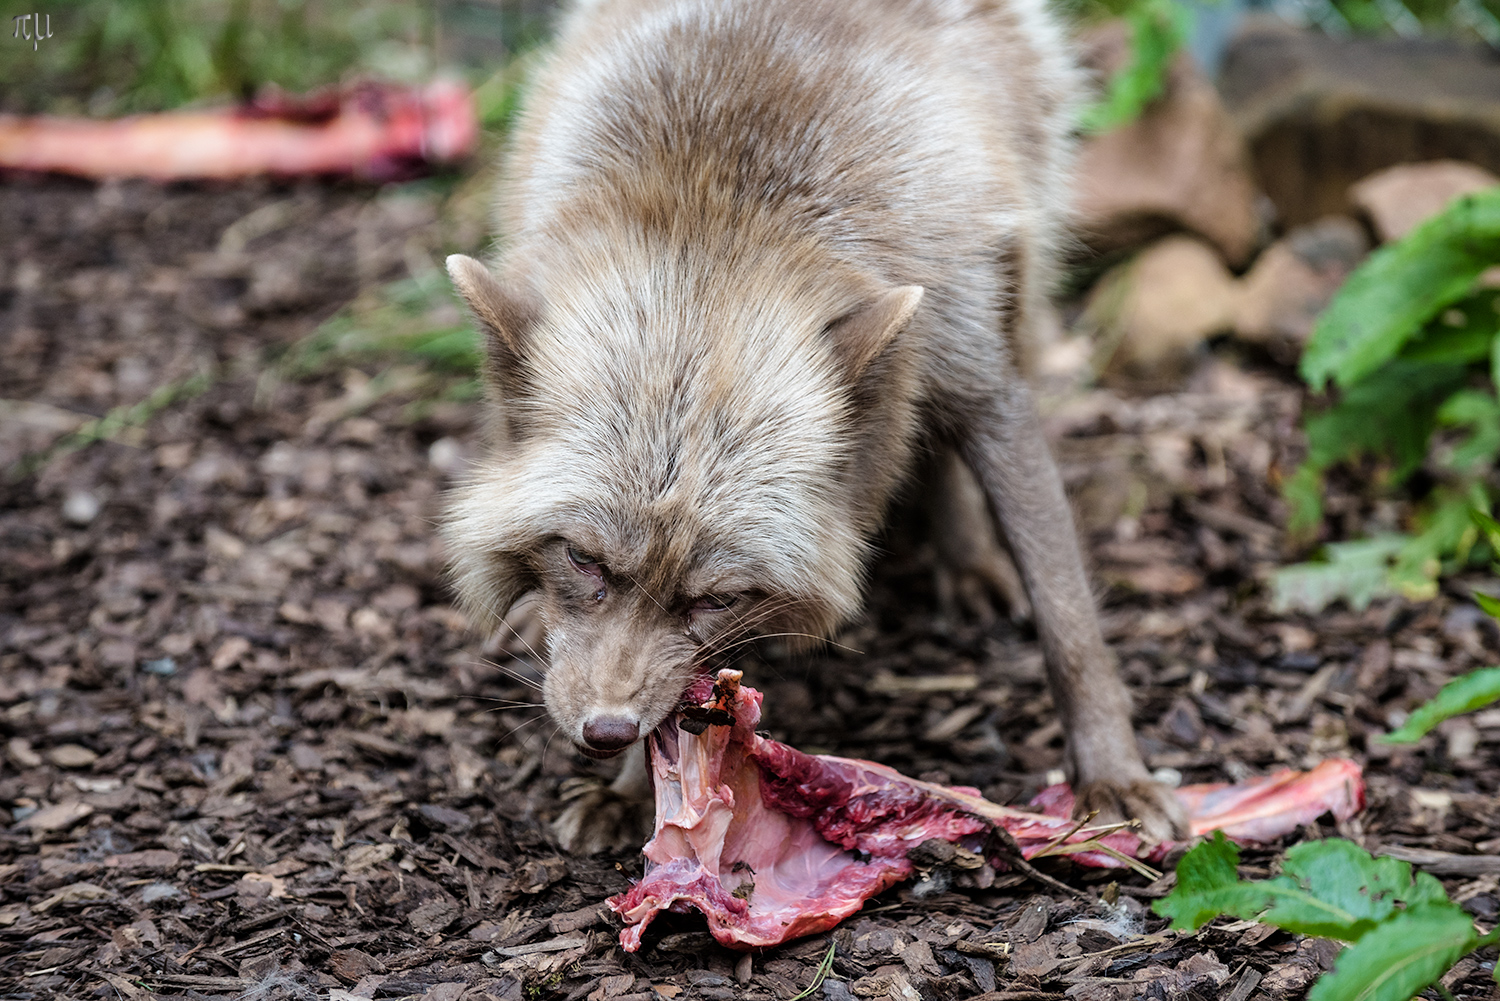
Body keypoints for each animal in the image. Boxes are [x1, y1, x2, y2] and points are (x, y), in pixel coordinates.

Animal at [444, 0, 1182, 852]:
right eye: (583, 560)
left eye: (717, 598)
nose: (604, 731)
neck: (725, 197)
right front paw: (639, 794)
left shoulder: (982, 373)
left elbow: (1069, 623)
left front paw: (1115, 774)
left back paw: (965, 559)